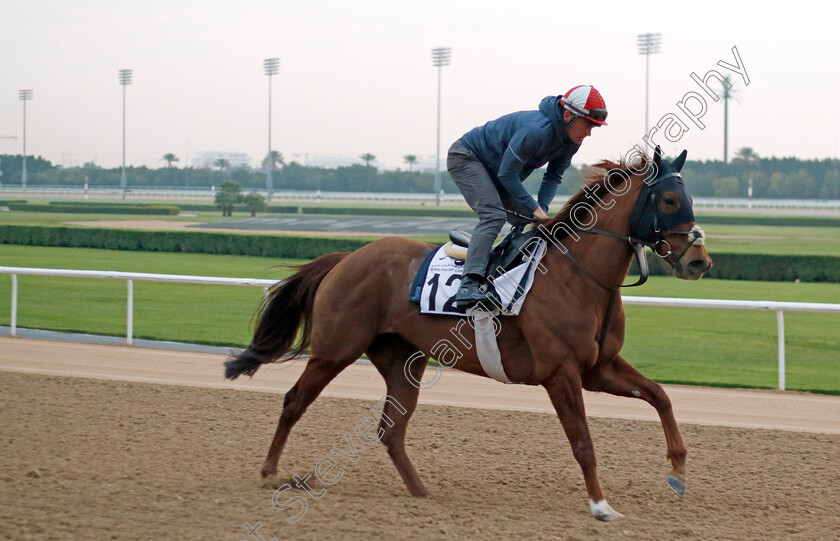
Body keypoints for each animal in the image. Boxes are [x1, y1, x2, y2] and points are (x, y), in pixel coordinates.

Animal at [226, 147, 712, 520]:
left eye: (690, 197)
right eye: (670, 200)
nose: (699, 261)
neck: (581, 275)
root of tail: (348, 256)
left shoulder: (599, 367)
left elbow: (660, 395)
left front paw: (678, 471)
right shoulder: (561, 373)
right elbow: (583, 443)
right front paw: (600, 506)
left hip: (403, 360)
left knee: (391, 429)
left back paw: (421, 492)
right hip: (336, 349)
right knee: (295, 401)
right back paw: (270, 472)